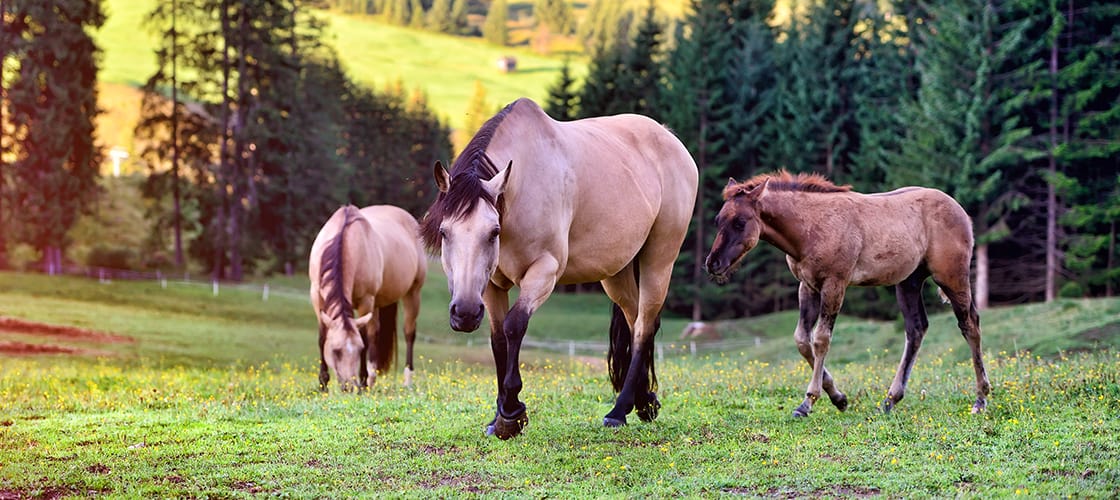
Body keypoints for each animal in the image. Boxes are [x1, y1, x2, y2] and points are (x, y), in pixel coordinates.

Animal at [311, 205, 427, 392]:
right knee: (376, 333)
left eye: (359, 350)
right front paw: (323, 384)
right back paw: (373, 379)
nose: (349, 387)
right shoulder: (316, 297)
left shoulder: (366, 300)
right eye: (336, 351)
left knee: (409, 333)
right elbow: (322, 338)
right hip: (378, 303)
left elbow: (365, 337)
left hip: (412, 293)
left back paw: (406, 381)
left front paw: (363, 382)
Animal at [421, 96, 694, 437]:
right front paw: (499, 417)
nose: (465, 313)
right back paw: (644, 402)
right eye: (445, 233)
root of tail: (669, 138)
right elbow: (498, 339)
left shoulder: (545, 271)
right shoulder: (492, 285)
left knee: (645, 325)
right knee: (637, 323)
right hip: (616, 273)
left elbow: (515, 325)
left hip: (660, 258)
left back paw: (618, 411)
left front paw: (512, 413)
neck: (522, 188)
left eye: (493, 232)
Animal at [703, 171, 994, 417]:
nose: (712, 263)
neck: (811, 227)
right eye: (718, 221)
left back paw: (980, 399)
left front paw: (808, 402)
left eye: (740, 222)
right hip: (909, 282)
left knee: (970, 324)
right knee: (916, 329)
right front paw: (839, 398)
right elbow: (801, 340)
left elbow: (821, 339)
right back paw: (890, 400)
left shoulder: (835, 284)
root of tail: (961, 211)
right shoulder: (807, 286)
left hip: (951, 276)